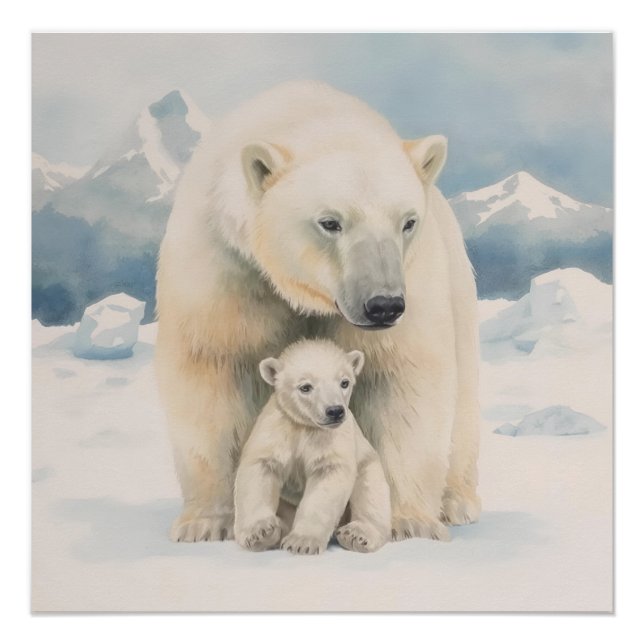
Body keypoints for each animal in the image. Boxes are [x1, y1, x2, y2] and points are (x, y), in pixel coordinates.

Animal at [234, 339, 391, 555]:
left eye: (344, 382)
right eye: (305, 387)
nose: (335, 411)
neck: (306, 426)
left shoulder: (332, 438)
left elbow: (327, 479)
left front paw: (301, 542)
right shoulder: (277, 429)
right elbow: (260, 471)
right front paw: (261, 533)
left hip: (368, 464)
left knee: (371, 491)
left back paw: (356, 535)